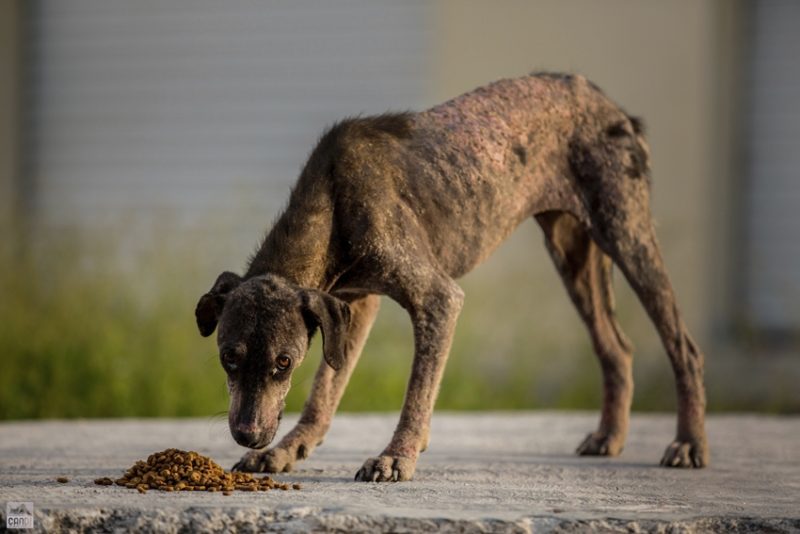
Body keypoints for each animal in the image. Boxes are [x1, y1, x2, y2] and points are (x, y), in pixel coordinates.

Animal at [194, 72, 708, 486]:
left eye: (283, 363)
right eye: (228, 358)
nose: (248, 436)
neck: (331, 200)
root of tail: (610, 104)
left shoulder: (438, 299)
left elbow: (416, 391)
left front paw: (396, 457)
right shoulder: (354, 305)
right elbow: (325, 391)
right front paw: (288, 451)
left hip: (628, 235)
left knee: (684, 346)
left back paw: (689, 443)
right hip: (574, 255)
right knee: (616, 349)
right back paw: (610, 436)